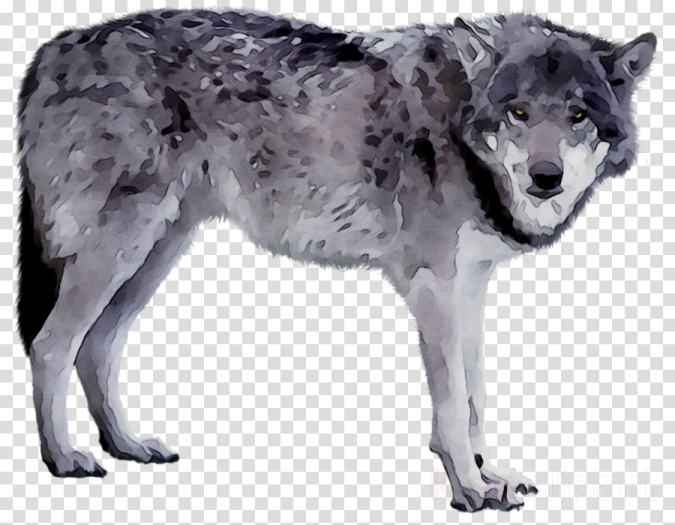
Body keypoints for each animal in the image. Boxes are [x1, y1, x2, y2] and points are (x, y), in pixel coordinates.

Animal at [15, 6, 655, 512]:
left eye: (577, 116)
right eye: (518, 112)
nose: (545, 177)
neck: (457, 121)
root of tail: (50, 52)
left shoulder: (469, 284)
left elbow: (475, 397)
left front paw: (493, 476)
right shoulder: (434, 287)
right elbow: (453, 404)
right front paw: (469, 489)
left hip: (157, 249)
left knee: (97, 346)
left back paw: (127, 445)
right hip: (122, 247)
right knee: (51, 345)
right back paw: (65, 458)